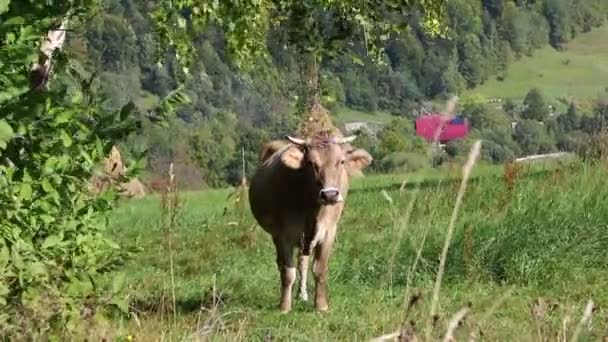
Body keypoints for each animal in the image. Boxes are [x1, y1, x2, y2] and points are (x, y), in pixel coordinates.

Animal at [248, 131, 372, 312]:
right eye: (311, 163)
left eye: (341, 161)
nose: (330, 195)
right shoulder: (282, 235)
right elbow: (287, 272)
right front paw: (284, 306)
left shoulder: (329, 232)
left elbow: (319, 269)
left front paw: (321, 306)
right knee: (283, 264)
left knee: (303, 262)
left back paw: (302, 295)